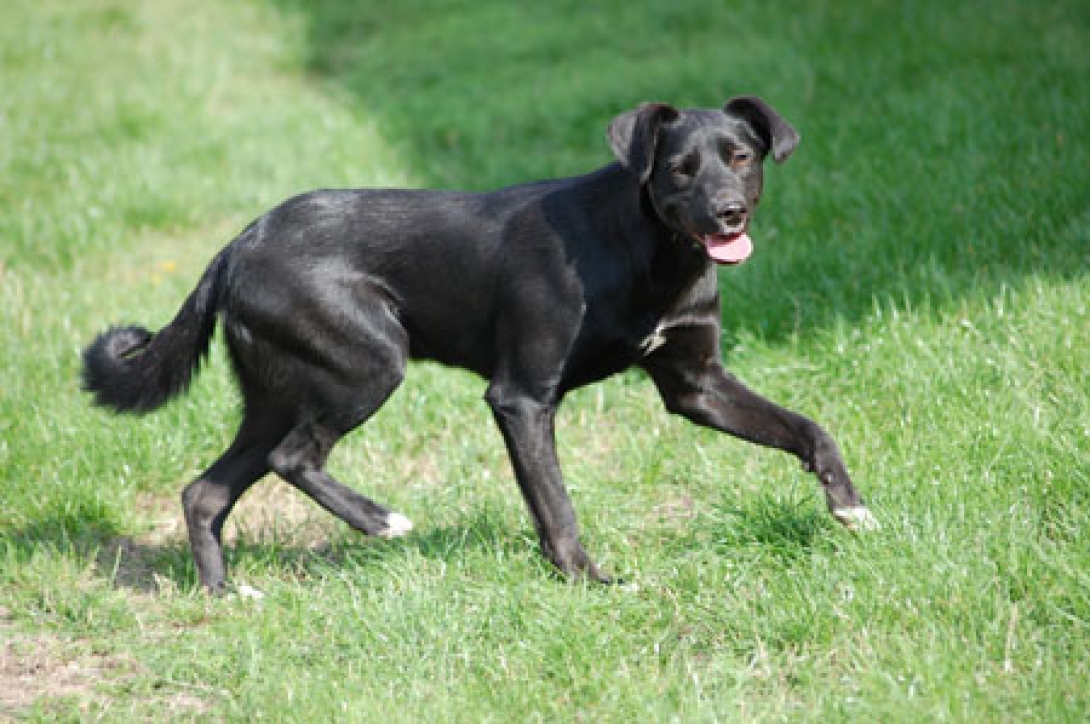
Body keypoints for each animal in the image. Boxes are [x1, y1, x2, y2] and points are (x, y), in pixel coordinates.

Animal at [82, 95, 876, 593]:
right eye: (679, 169)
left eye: (741, 157)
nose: (728, 212)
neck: (647, 250)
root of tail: (238, 243)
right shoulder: (521, 398)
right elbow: (555, 502)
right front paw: (588, 581)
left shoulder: (697, 386)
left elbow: (810, 428)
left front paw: (850, 507)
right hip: (367, 363)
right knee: (292, 459)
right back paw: (380, 520)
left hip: (279, 392)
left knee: (206, 491)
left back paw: (225, 594)